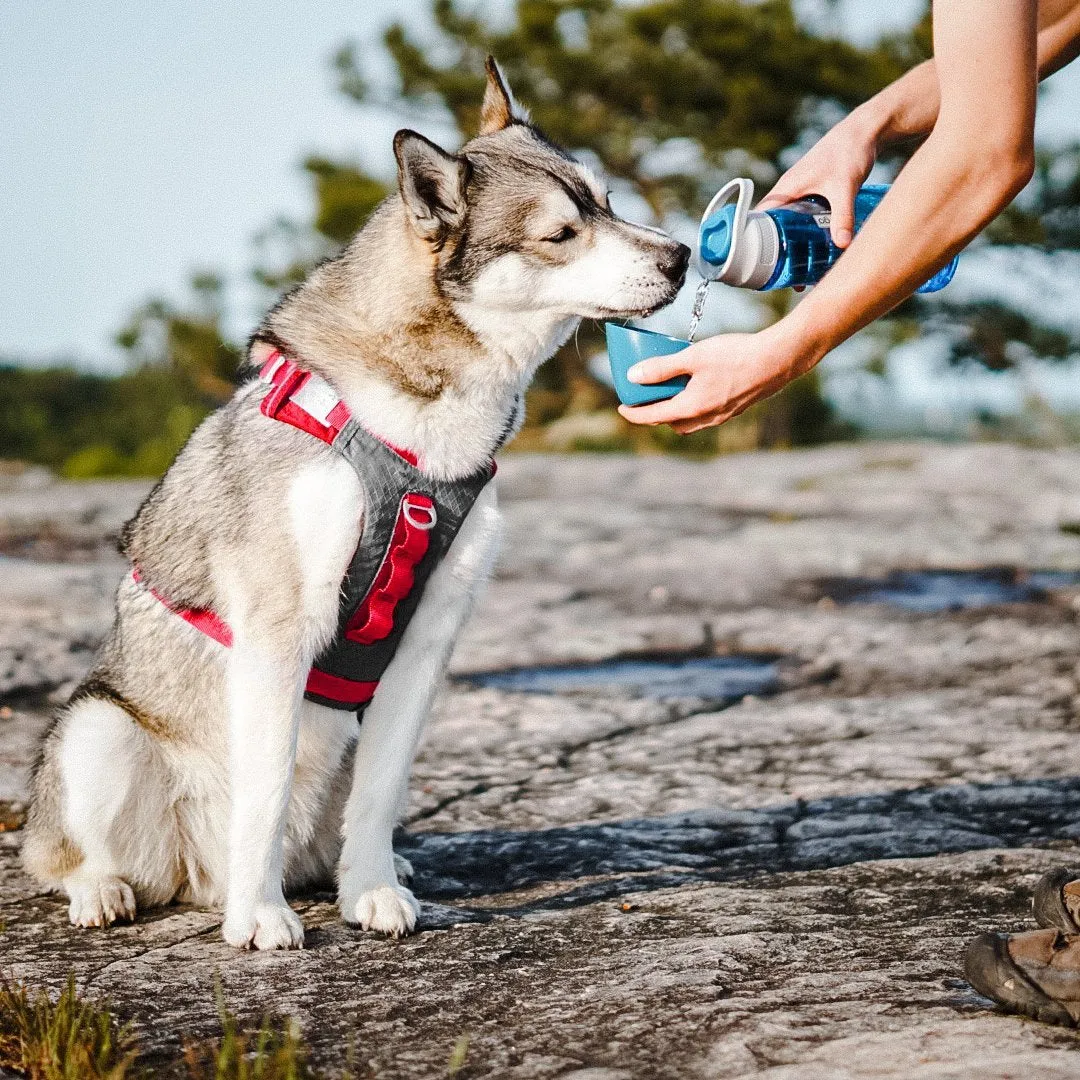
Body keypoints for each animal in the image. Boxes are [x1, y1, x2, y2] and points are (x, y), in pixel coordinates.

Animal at [23, 59, 691, 950]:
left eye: (608, 202)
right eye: (561, 234)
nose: (681, 256)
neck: (419, 436)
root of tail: (197, 882)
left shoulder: (424, 646)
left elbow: (380, 795)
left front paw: (372, 891)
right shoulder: (278, 632)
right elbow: (265, 794)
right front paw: (260, 918)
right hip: (99, 728)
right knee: (65, 854)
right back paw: (112, 890)